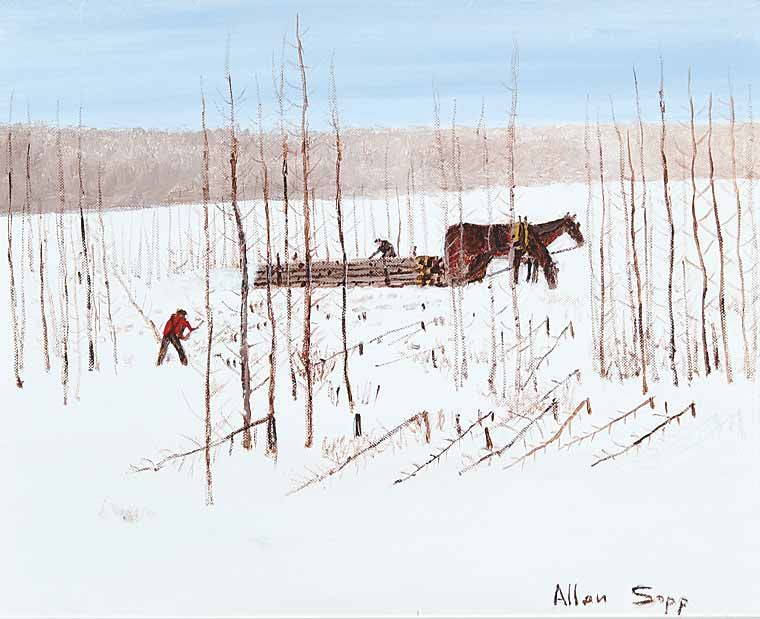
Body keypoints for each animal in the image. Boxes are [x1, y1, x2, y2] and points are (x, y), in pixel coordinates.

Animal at [443, 214, 584, 288]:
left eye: (578, 225)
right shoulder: (520, 256)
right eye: (572, 226)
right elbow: (518, 273)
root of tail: (449, 230)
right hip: (457, 259)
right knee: (454, 275)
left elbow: (531, 272)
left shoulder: (530, 258)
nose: (582, 241)